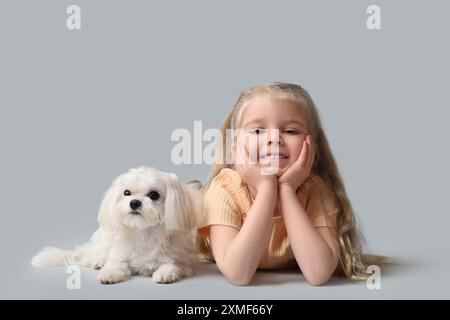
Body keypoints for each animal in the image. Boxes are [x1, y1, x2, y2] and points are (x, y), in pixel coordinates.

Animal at [33, 166, 204, 284]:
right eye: (126, 192)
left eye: (154, 195)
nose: (134, 202)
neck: (144, 232)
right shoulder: (119, 254)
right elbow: (116, 264)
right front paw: (108, 274)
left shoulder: (183, 260)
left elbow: (172, 264)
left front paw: (164, 273)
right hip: (104, 241)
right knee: (94, 253)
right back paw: (97, 262)